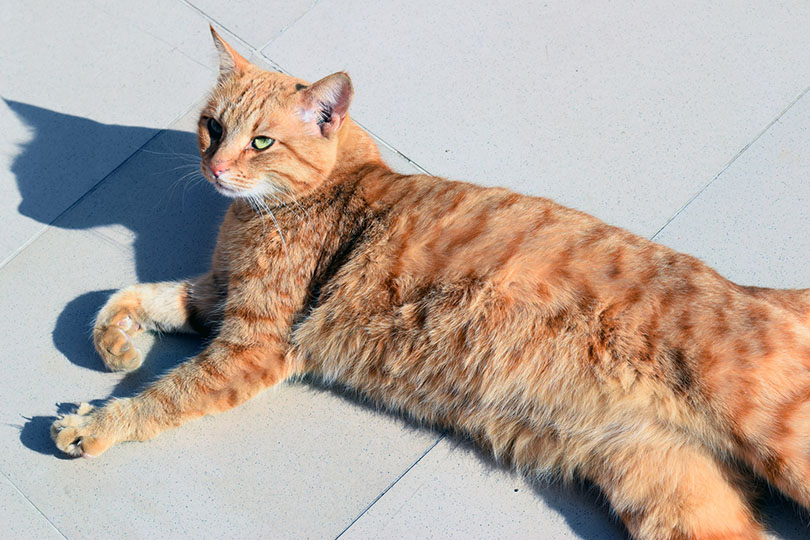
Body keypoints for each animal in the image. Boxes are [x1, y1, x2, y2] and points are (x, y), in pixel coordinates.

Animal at [52, 27, 808, 536]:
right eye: (210, 127)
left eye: (261, 142)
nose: (215, 168)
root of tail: (762, 291)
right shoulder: (218, 295)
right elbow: (124, 297)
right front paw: (116, 344)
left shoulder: (253, 342)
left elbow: (166, 395)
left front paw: (98, 424)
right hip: (670, 490)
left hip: (780, 440)